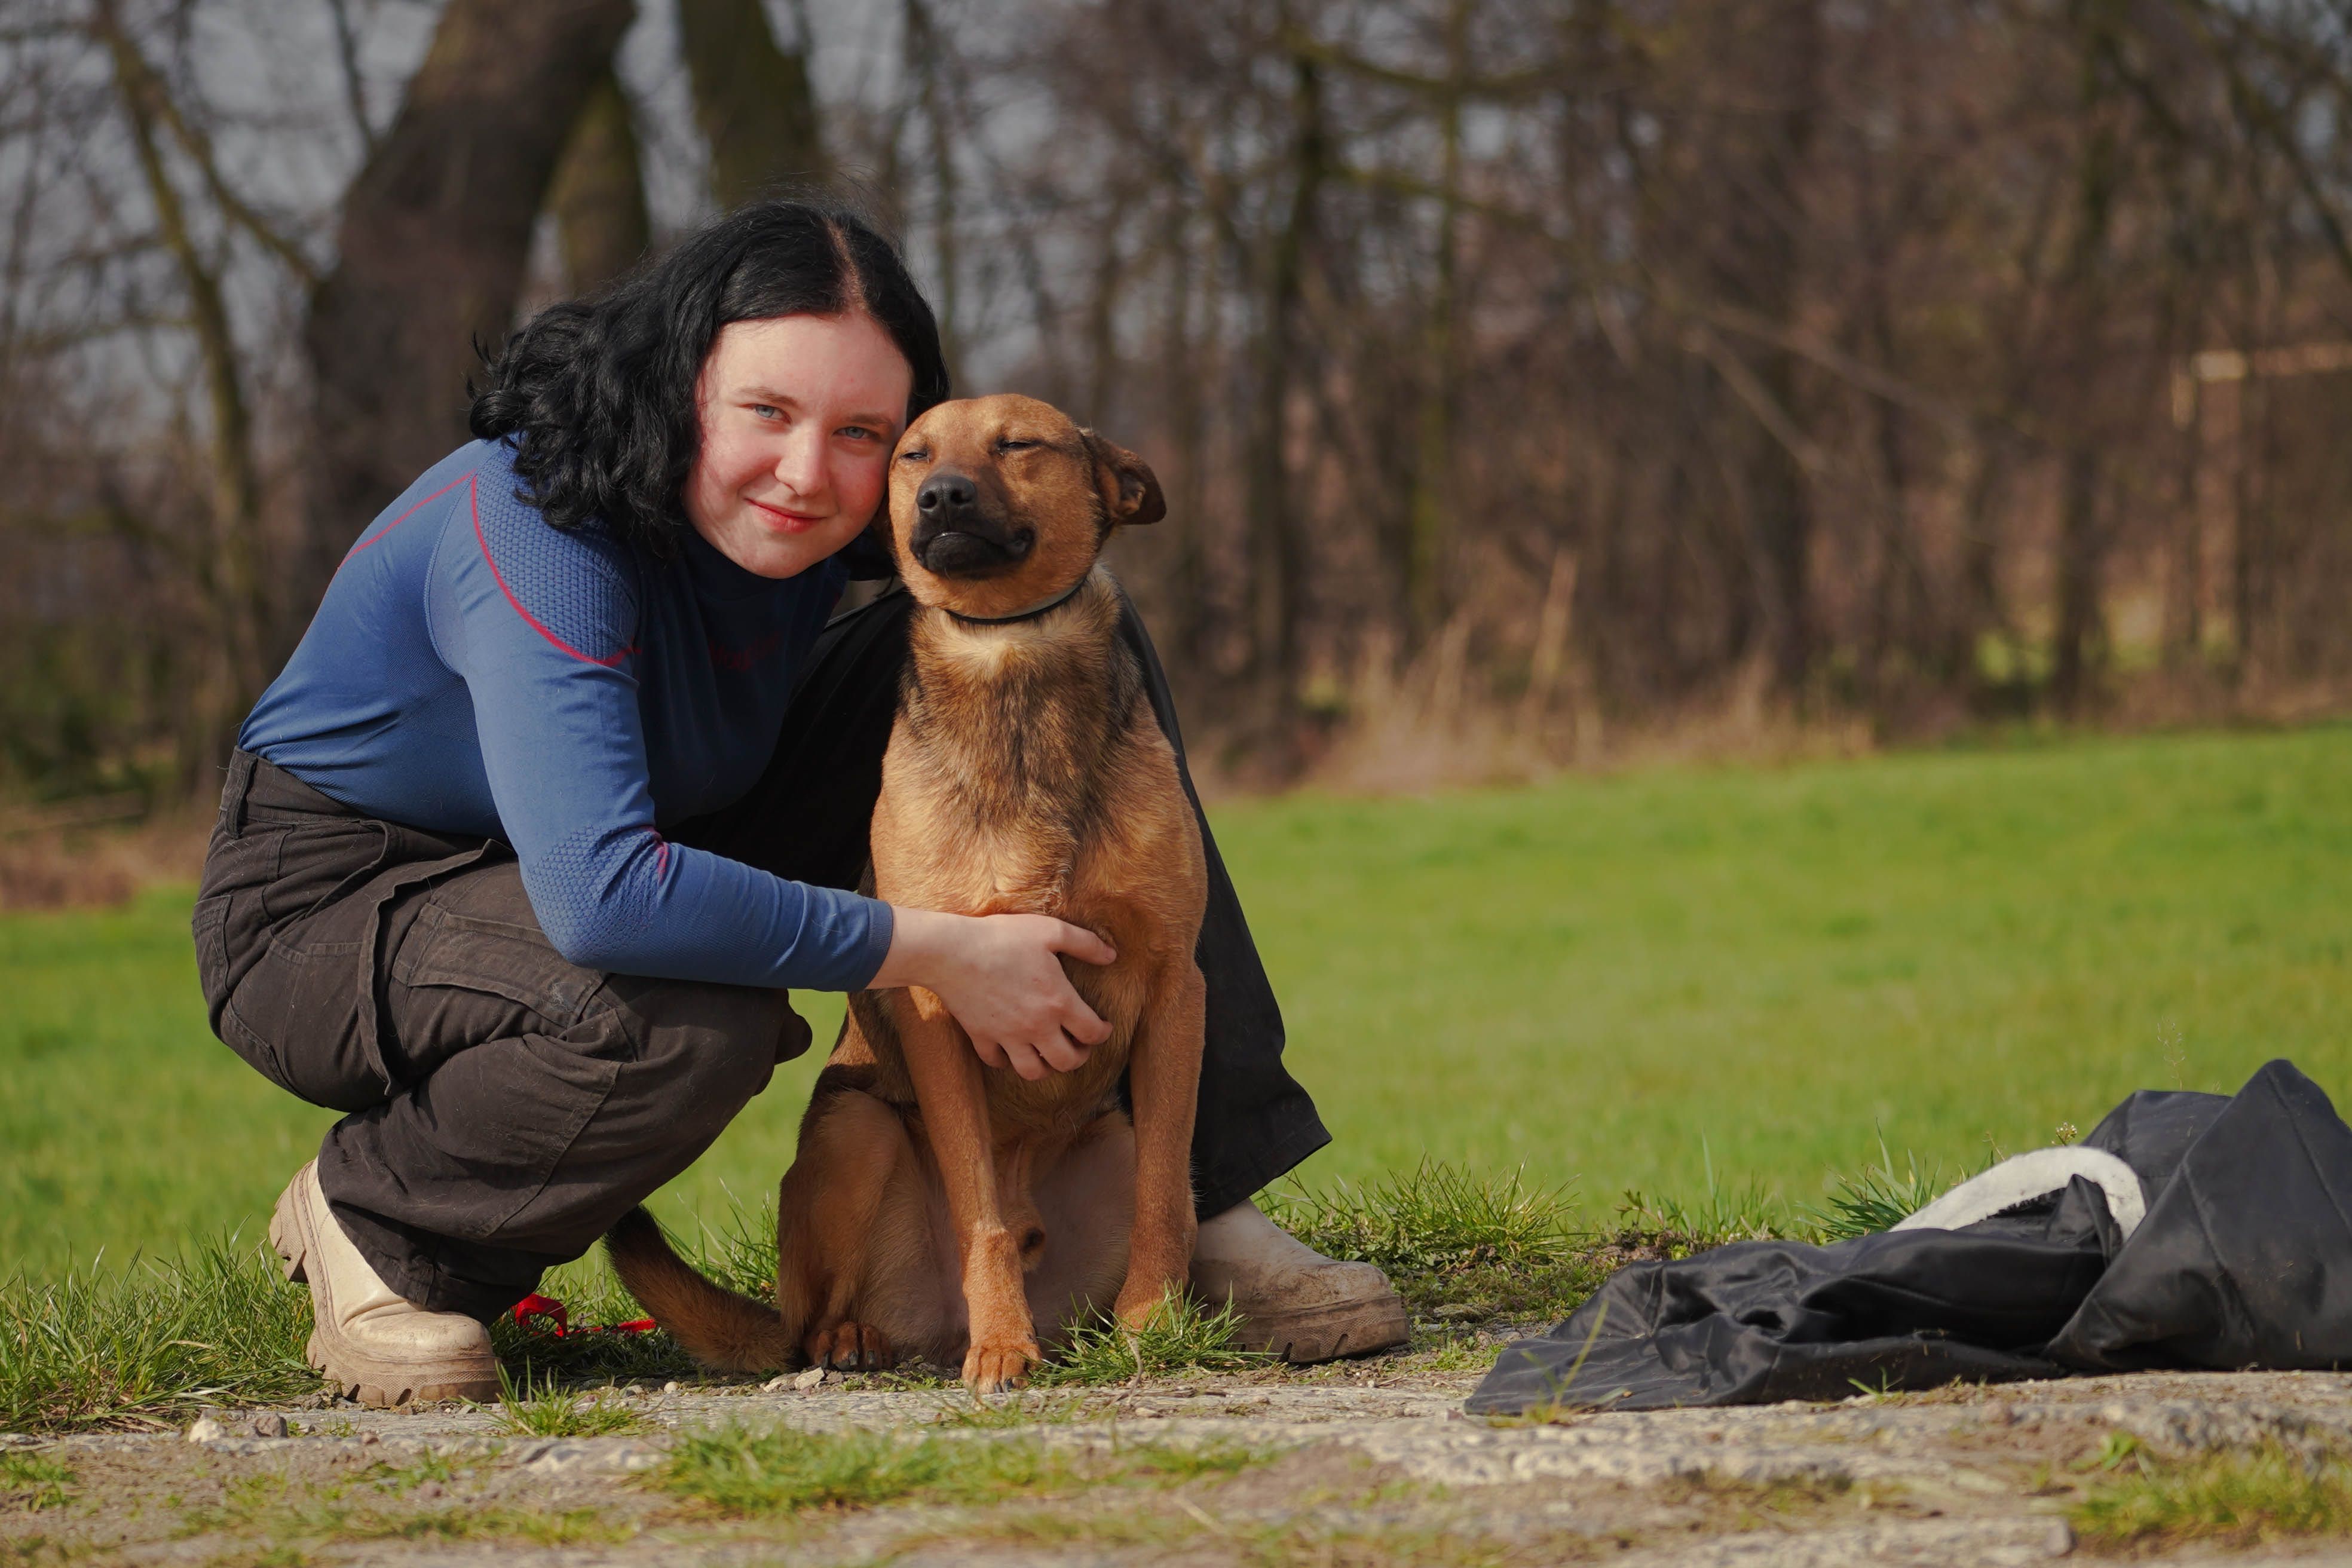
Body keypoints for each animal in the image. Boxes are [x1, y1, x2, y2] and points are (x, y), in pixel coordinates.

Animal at [607, 399, 1204, 1391]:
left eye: (1017, 444)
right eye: (913, 455)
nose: (943, 496)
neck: (1008, 654)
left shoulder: (1172, 987)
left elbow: (1167, 1188)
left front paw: (1155, 1320)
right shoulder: (942, 1009)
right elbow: (979, 1211)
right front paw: (1001, 1344)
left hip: (1108, 1137)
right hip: (858, 1131)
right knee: (817, 1318)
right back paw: (863, 1339)